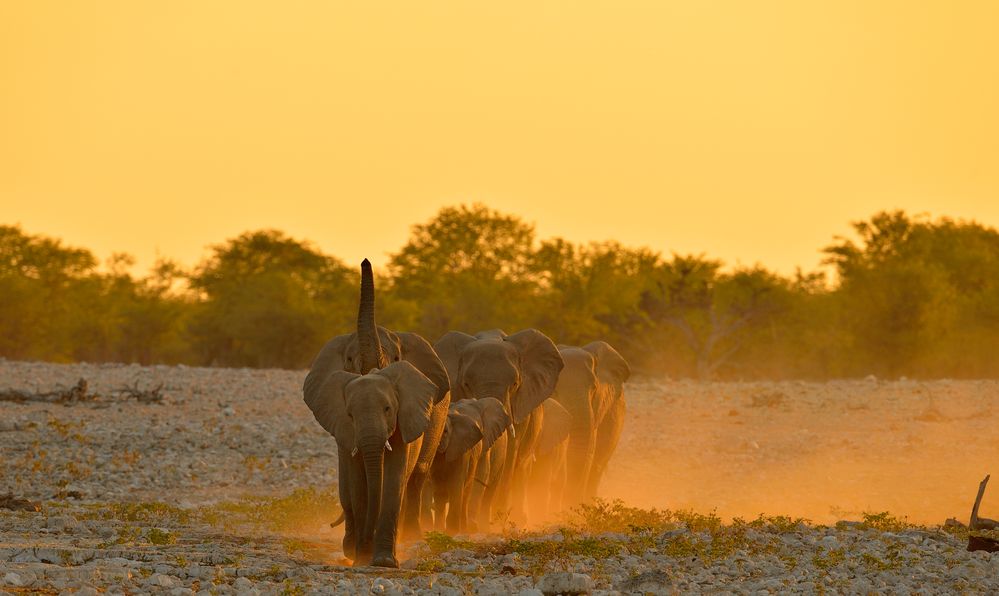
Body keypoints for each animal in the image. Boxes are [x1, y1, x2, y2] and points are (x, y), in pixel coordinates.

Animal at [300, 260, 450, 568]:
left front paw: (383, 561)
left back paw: (411, 538)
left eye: (396, 359)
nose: (365, 262)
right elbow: (358, 481)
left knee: (416, 477)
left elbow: (394, 477)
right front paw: (361, 558)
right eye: (348, 359)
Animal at [428, 398, 512, 532]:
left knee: (486, 492)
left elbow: (467, 480)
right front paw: (440, 531)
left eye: (445, 432)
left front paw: (455, 530)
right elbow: (439, 488)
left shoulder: (475, 447)